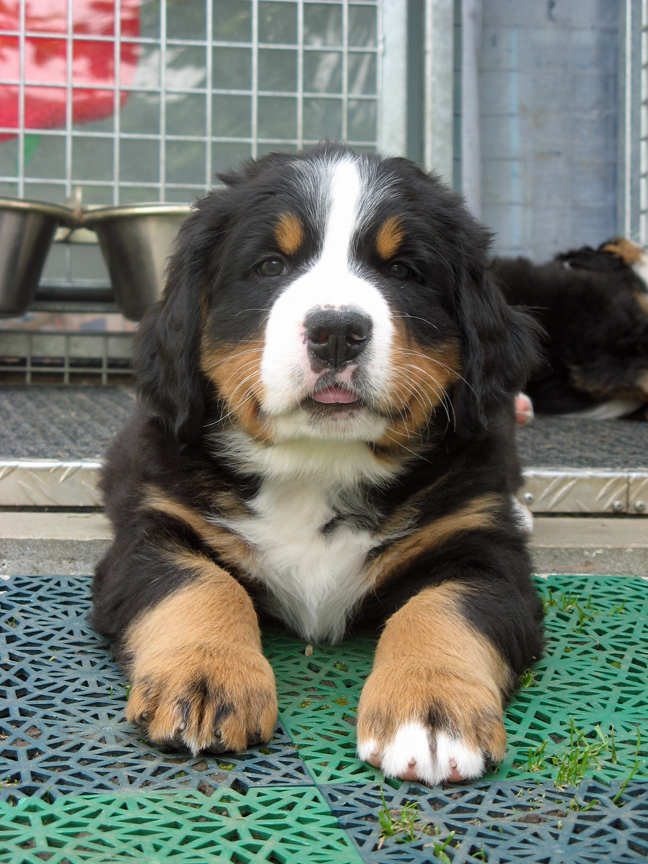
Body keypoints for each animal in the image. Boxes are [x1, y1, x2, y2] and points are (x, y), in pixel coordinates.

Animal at [91, 144, 544, 787]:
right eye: (270, 266)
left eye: (403, 271)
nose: (336, 330)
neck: (317, 463)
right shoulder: (153, 528)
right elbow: (200, 583)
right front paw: (205, 677)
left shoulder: (481, 548)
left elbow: (442, 609)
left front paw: (431, 711)